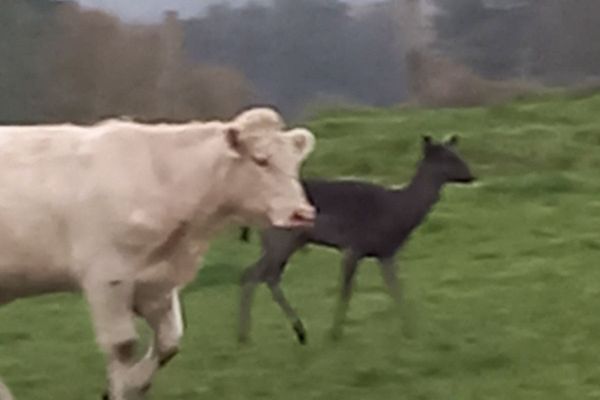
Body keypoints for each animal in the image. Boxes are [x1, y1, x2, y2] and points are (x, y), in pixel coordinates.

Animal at [0, 108, 316, 398]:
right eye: (261, 160)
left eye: (296, 163)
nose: (303, 214)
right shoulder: (107, 279)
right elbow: (123, 346)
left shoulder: (156, 282)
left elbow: (169, 342)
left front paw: (137, 383)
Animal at [237, 135, 476, 344]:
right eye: (447, 158)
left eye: (458, 153)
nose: (471, 175)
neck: (399, 212)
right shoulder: (354, 246)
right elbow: (346, 290)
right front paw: (334, 333)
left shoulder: (386, 252)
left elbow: (396, 288)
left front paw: (410, 330)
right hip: (282, 238)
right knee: (255, 274)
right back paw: (251, 335)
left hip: (287, 241)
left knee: (265, 275)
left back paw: (284, 332)